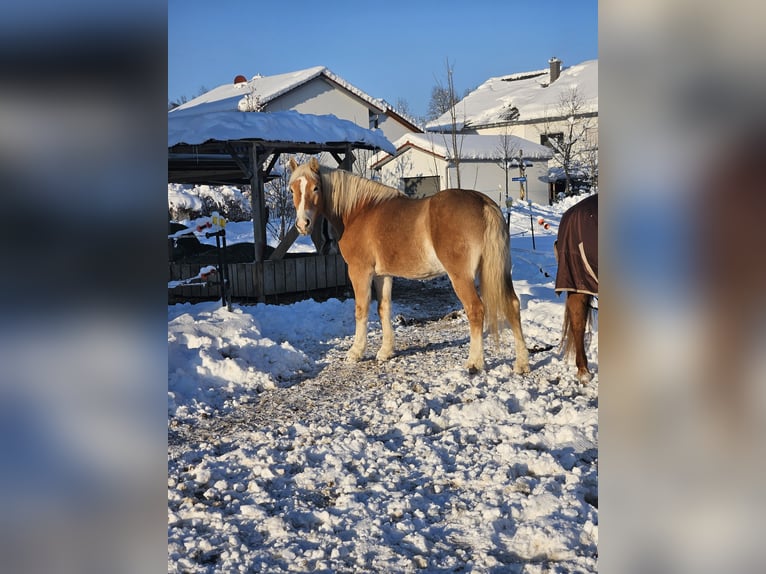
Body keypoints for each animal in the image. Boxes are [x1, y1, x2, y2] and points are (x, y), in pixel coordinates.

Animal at [284, 156, 532, 374]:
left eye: (316, 188)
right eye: (292, 190)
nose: (303, 224)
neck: (358, 211)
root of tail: (483, 203)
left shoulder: (360, 272)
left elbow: (361, 310)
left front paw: (355, 353)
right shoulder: (382, 275)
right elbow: (383, 309)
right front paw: (385, 352)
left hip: (461, 277)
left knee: (476, 309)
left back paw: (474, 363)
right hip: (494, 272)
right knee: (512, 305)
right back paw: (521, 364)